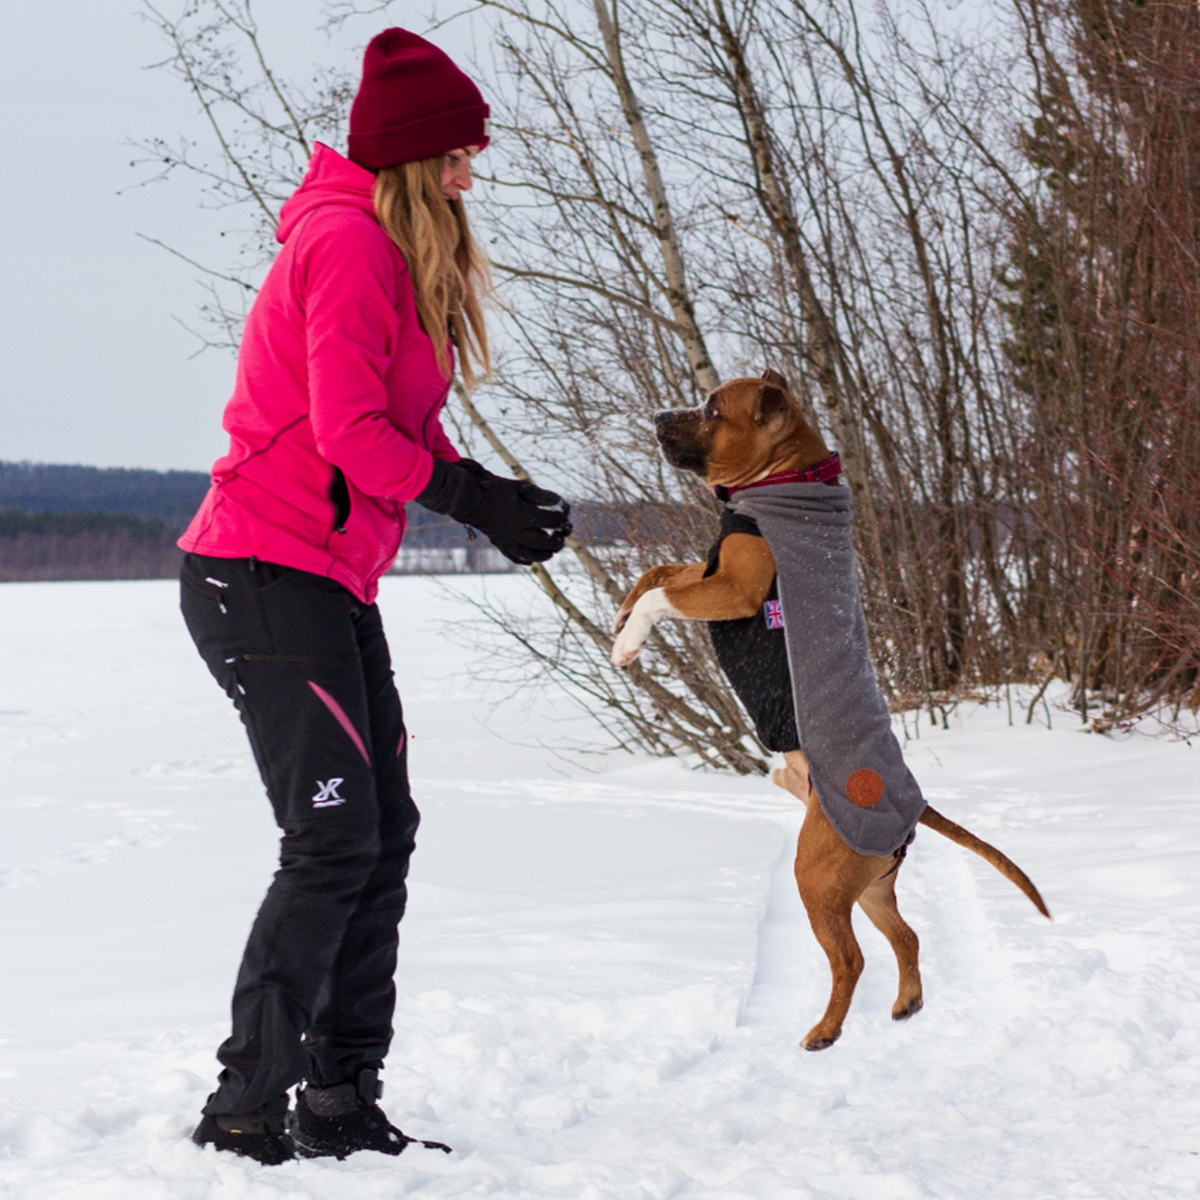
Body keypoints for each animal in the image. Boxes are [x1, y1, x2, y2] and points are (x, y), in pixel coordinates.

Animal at [614, 369, 1046, 1046]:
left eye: (712, 408)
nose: (659, 416)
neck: (786, 479)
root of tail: (915, 805)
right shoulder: (708, 570)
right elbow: (657, 569)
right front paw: (621, 618)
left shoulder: (734, 588)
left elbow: (662, 592)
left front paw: (629, 639)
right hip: (868, 886)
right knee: (905, 936)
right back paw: (907, 1003)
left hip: (816, 877)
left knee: (851, 958)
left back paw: (825, 1030)